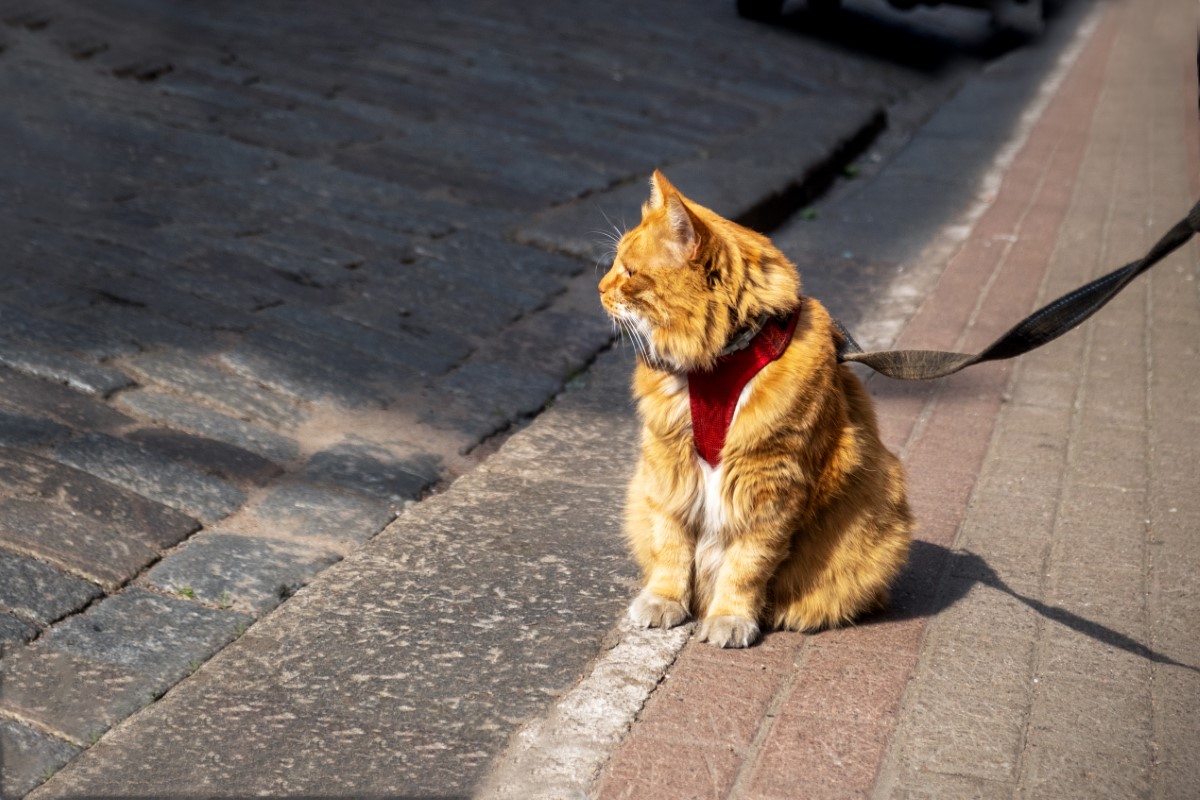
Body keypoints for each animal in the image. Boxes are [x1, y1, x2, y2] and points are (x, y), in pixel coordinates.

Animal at [595, 170, 912, 652]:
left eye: (629, 273)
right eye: (615, 265)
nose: (599, 290)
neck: (718, 361)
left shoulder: (770, 484)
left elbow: (746, 566)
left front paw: (729, 617)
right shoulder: (669, 471)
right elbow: (671, 546)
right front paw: (665, 600)